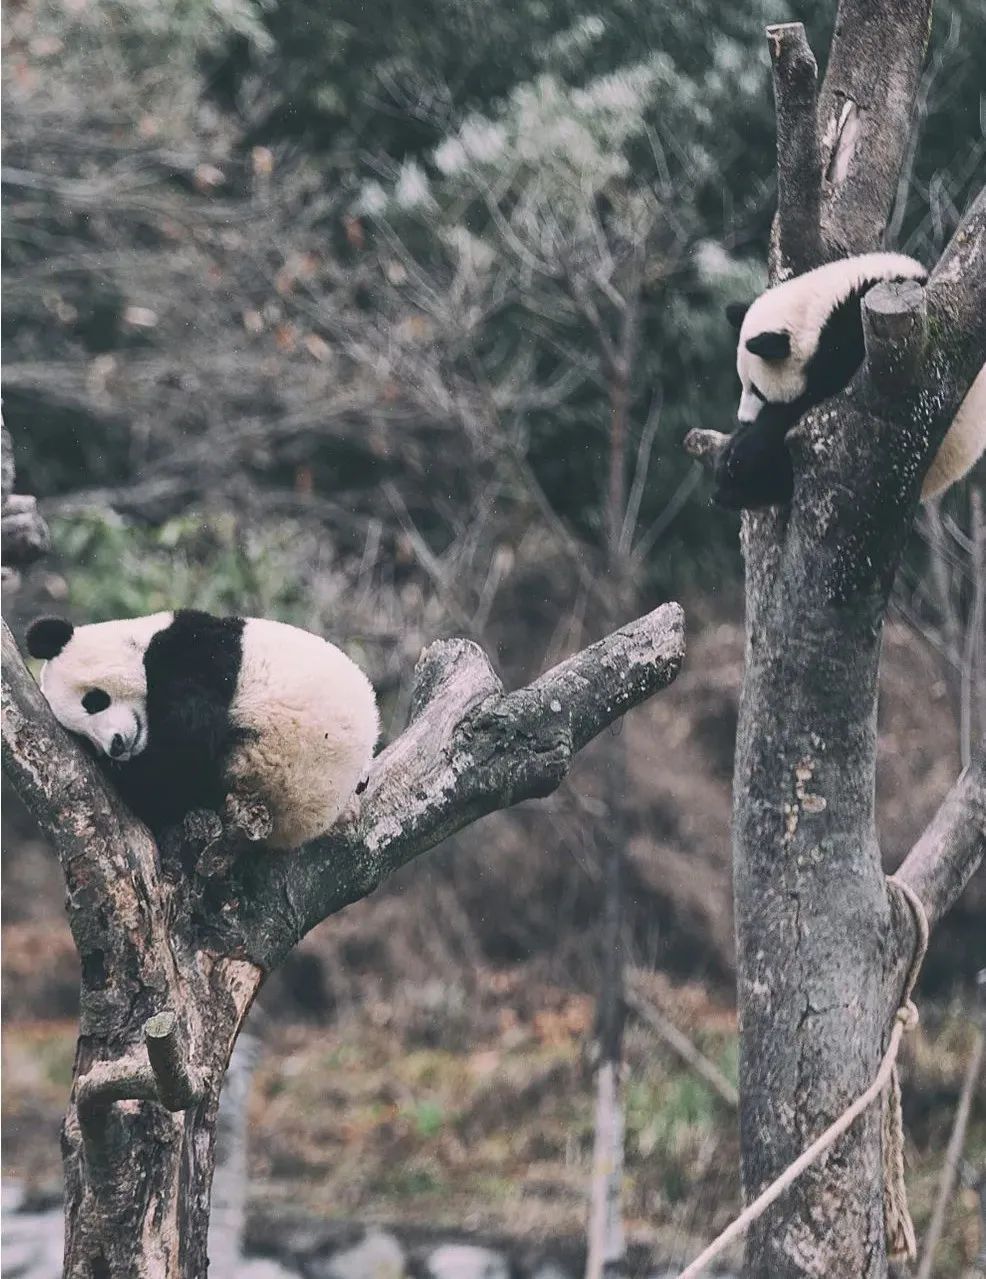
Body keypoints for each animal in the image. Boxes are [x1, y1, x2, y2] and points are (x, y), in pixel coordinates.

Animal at [26, 606, 381, 849]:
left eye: (94, 700)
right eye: (84, 739)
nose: (115, 746)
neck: (141, 639)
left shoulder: (192, 652)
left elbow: (189, 735)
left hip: (273, 758)